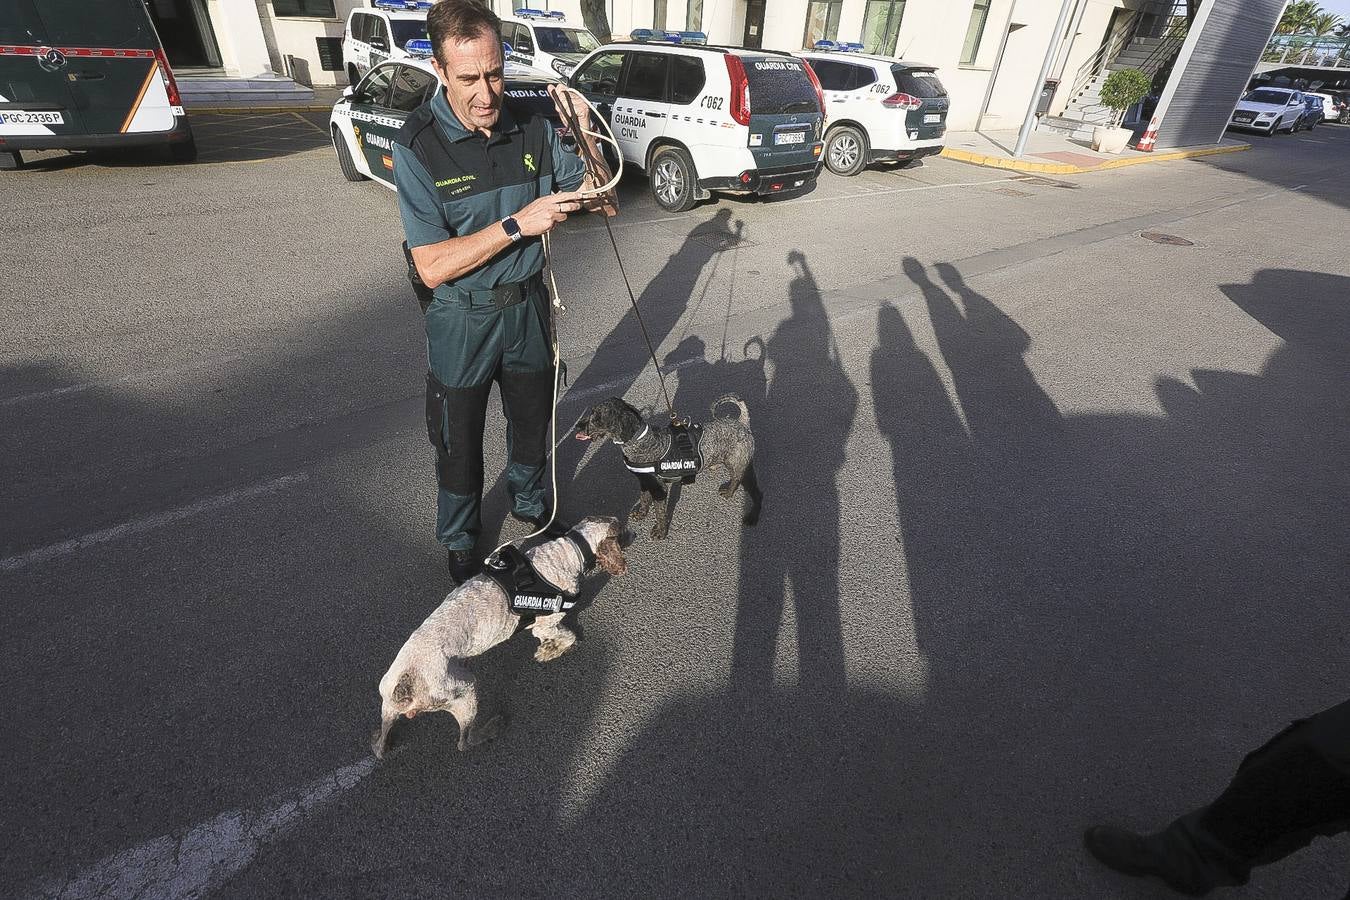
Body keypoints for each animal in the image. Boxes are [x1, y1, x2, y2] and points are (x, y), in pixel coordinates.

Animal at [375, 518, 626, 755]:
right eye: (622, 531)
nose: (633, 532)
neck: (566, 551)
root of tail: (405, 686)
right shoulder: (545, 624)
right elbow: (567, 637)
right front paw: (549, 651)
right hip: (464, 692)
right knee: (464, 742)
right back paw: (490, 729)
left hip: (387, 703)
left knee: (380, 746)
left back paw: (379, 741)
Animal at [572, 396, 761, 539]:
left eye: (596, 416)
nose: (576, 426)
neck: (642, 442)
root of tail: (742, 423)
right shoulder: (644, 482)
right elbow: (643, 499)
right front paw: (642, 513)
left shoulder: (659, 489)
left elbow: (660, 513)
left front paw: (660, 532)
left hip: (740, 466)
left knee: (749, 488)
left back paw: (744, 508)